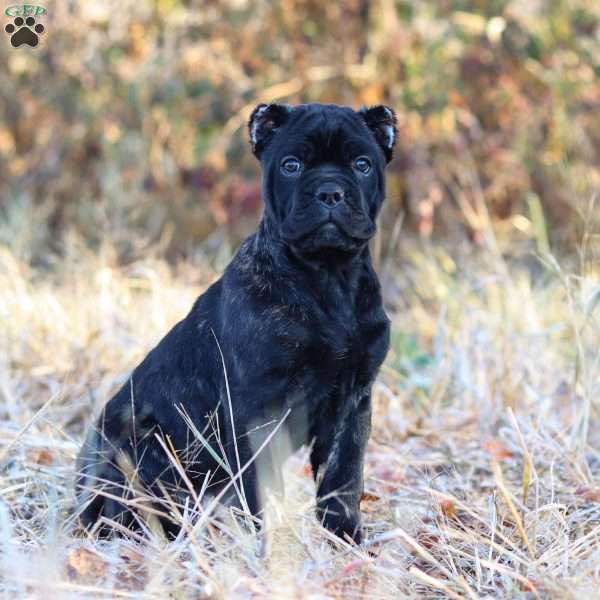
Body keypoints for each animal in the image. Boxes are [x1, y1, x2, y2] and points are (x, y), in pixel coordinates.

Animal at [77, 103, 396, 544]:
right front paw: (262, 542)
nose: (330, 192)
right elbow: (258, 485)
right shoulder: (257, 406)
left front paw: (344, 536)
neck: (328, 277)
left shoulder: (353, 402)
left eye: (362, 165)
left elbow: (343, 476)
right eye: (292, 165)